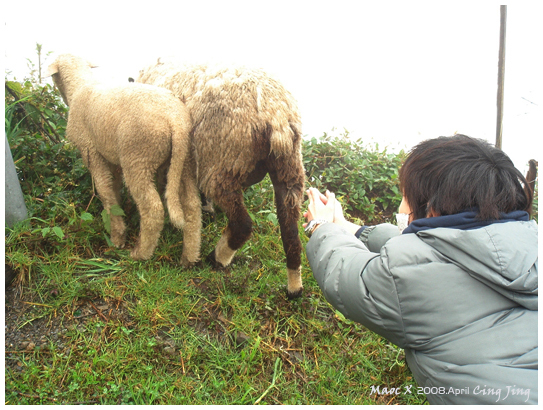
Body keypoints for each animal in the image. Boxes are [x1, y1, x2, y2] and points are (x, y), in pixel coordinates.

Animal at [46, 54, 202, 262]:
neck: (80, 86)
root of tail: (175, 121)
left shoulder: (90, 151)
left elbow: (104, 192)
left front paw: (117, 238)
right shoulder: (112, 158)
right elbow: (114, 188)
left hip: (138, 157)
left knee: (153, 210)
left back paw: (140, 254)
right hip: (184, 161)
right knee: (193, 206)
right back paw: (189, 257)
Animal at [136, 58, 306, 298]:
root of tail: (276, 113)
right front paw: (206, 209)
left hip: (223, 164)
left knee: (242, 224)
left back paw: (217, 259)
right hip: (288, 168)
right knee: (290, 231)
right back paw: (294, 288)